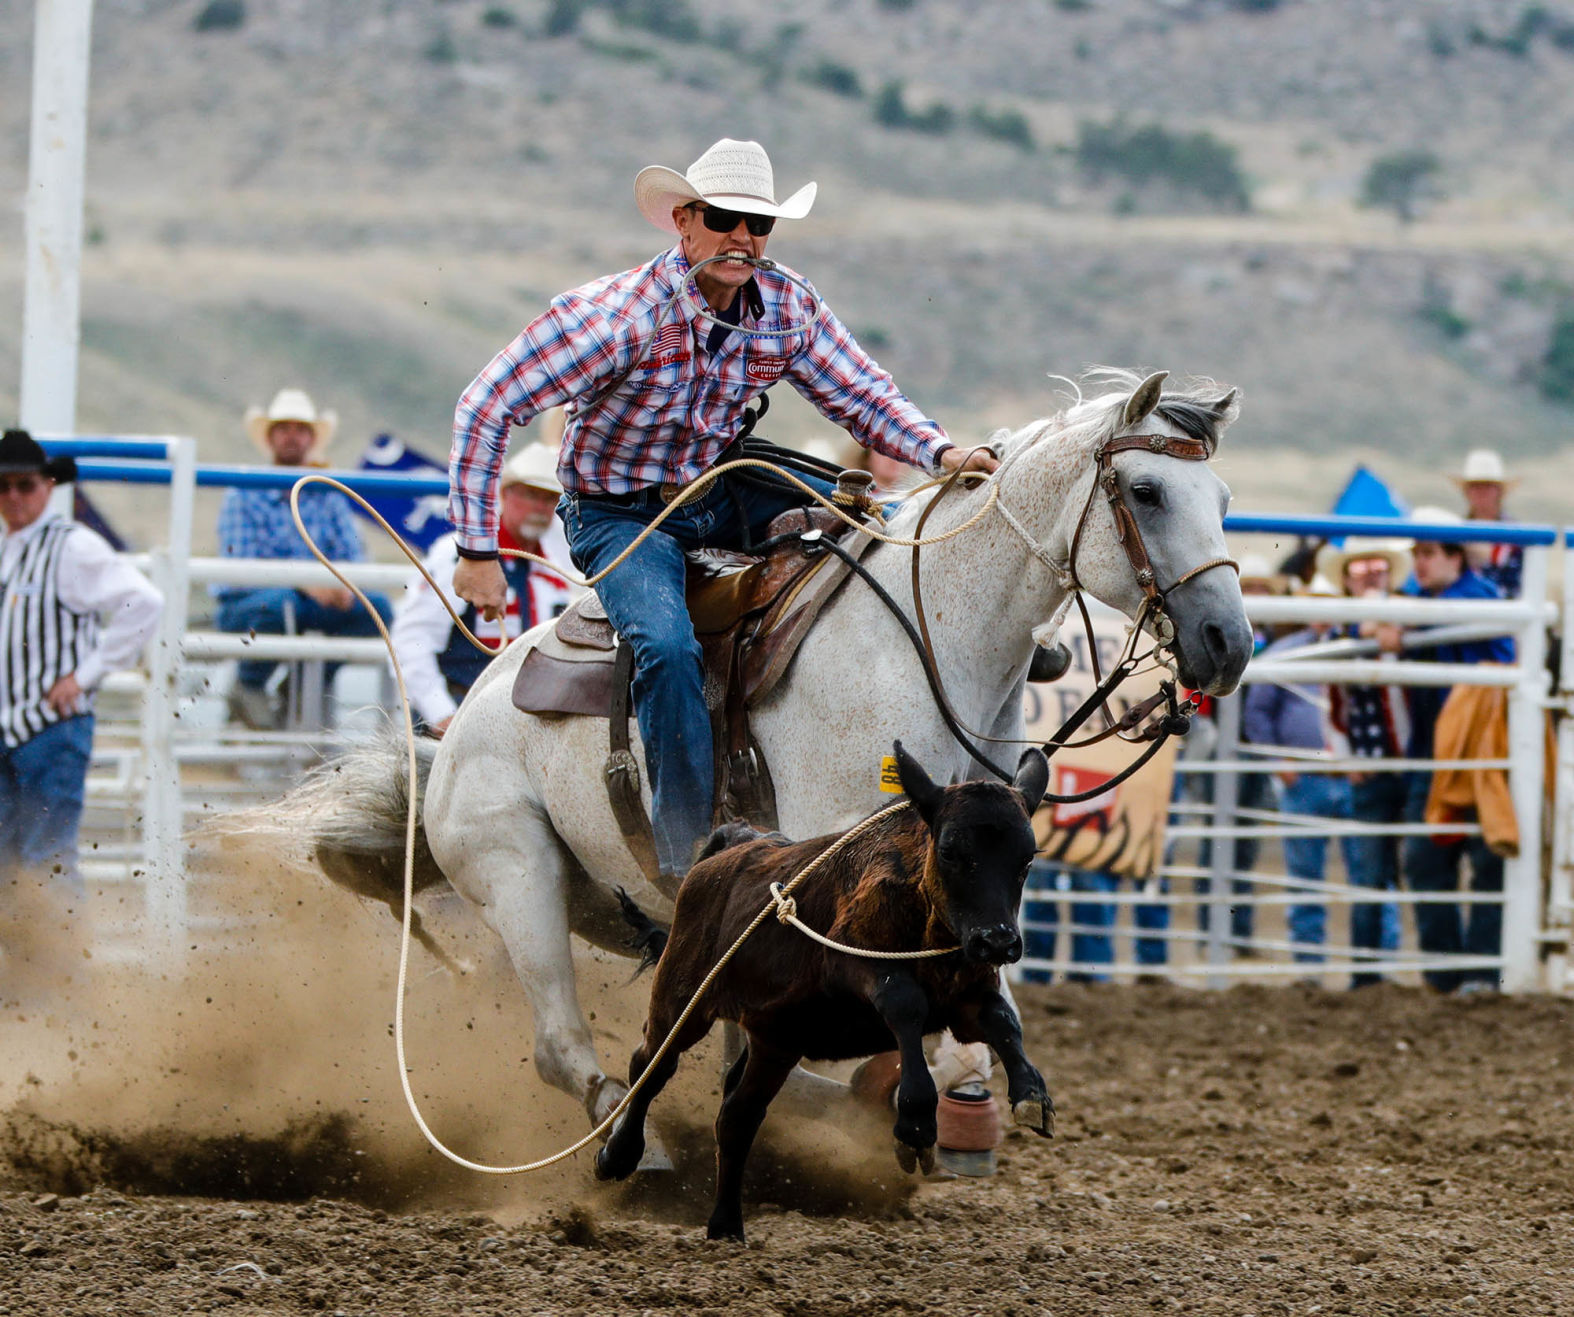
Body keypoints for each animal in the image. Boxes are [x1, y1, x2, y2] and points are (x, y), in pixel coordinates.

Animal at [594, 745, 1051, 1239]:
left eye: (1027, 858)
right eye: (949, 850)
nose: (998, 941)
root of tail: (733, 845)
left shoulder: (967, 997)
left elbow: (1003, 1022)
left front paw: (1032, 1094)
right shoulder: (854, 962)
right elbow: (905, 1004)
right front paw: (914, 1123)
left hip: (778, 1039)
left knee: (737, 1116)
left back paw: (726, 1224)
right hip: (683, 998)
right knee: (652, 1065)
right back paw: (617, 1156)